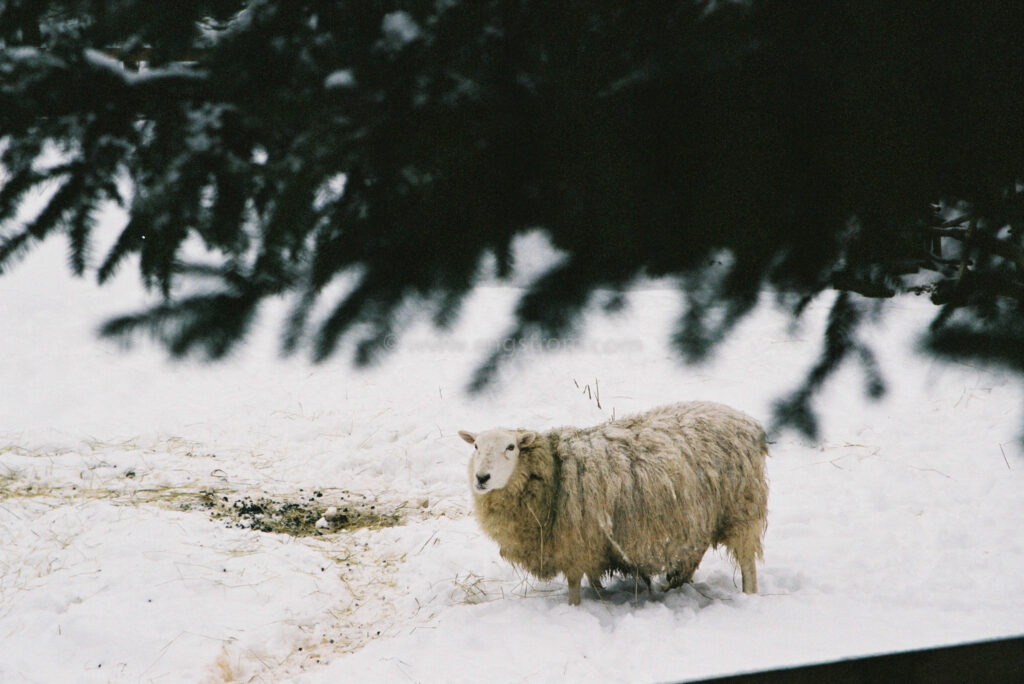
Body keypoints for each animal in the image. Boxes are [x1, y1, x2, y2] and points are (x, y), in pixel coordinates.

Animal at [458, 401, 770, 602]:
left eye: (510, 447)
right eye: (476, 446)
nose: (482, 478)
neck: (554, 471)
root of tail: (747, 422)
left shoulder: (576, 543)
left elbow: (574, 584)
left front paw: (576, 607)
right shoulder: (592, 543)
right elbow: (592, 578)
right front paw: (600, 595)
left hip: (742, 511)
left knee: (747, 563)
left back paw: (749, 595)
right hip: (701, 517)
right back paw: (674, 584)